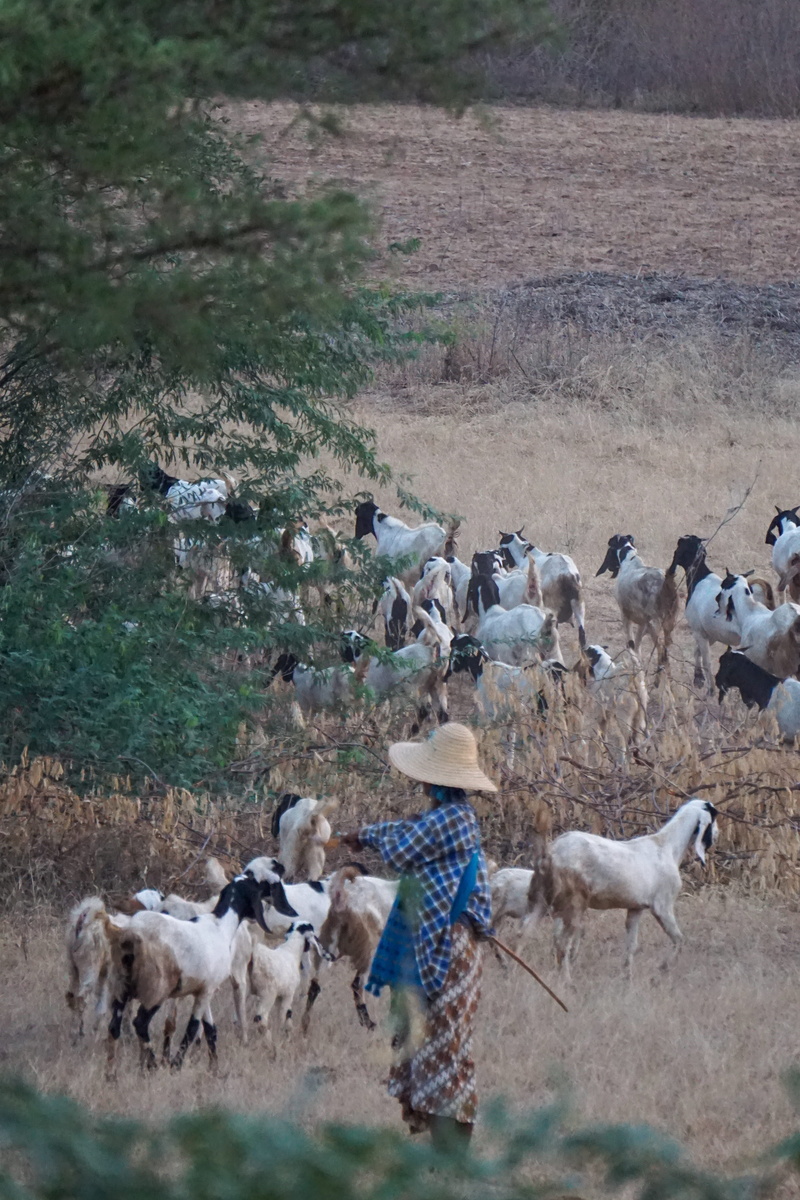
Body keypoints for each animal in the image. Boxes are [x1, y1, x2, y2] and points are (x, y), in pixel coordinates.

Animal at [104, 875, 272, 1072]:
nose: (257, 916)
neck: (221, 926)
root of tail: (132, 936)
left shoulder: (203, 989)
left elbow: (210, 1028)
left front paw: (214, 1068)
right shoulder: (207, 990)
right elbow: (192, 1028)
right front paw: (176, 1064)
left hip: (120, 986)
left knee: (114, 1026)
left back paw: (112, 1073)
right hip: (156, 990)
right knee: (140, 1023)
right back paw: (153, 1065)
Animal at [527, 798, 719, 982]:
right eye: (714, 814)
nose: (717, 833)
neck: (666, 847)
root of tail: (551, 853)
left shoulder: (635, 908)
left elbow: (631, 946)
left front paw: (627, 978)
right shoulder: (662, 907)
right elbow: (679, 939)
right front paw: (661, 970)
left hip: (544, 900)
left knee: (530, 934)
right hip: (573, 905)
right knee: (562, 944)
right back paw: (567, 981)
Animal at [596, 534, 678, 672]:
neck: (631, 562)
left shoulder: (625, 616)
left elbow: (630, 644)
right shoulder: (643, 623)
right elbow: (637, 645)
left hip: (655, 624)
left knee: (661, 650)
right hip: (667, 624)